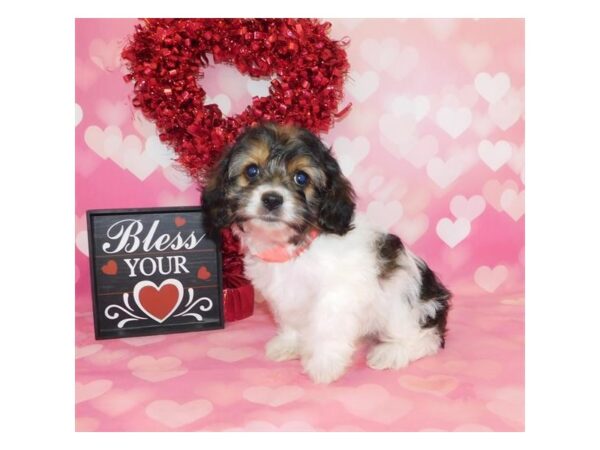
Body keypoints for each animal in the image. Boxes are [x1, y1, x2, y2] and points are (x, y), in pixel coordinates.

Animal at [202, 123, 450, 384]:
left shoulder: (336, 295)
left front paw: (324, 364)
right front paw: (289, 344)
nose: (272, 199)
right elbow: (290, 319)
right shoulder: (285, 295)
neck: (294, 246)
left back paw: (392, 352)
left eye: (301, 178)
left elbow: (326, 329)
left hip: (403, 301)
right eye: (251, 171)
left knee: (427, 337)